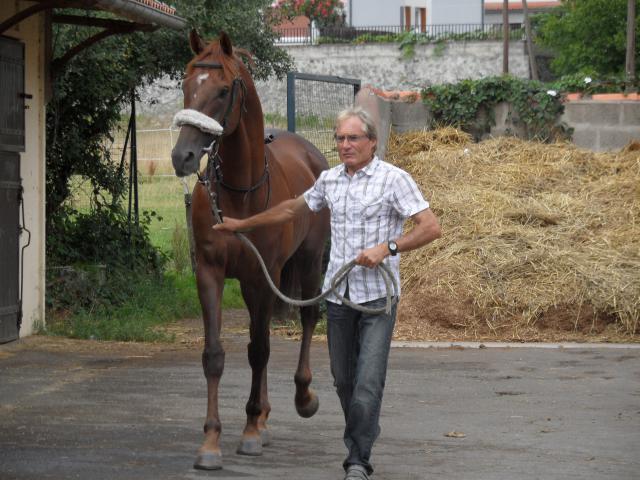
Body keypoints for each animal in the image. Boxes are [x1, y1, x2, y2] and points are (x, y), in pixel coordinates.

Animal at [170, 30, 330, 468]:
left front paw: (250, 431)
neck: (241, 192)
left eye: (224, 90)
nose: (182, 156)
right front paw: (211, 441)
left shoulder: (263, 276)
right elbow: (215, 354)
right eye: (185, 85)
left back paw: (301, 397)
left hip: (308, 263)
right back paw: (265, 415)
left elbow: (259, 351)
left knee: (308, 318)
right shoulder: (210, 273)